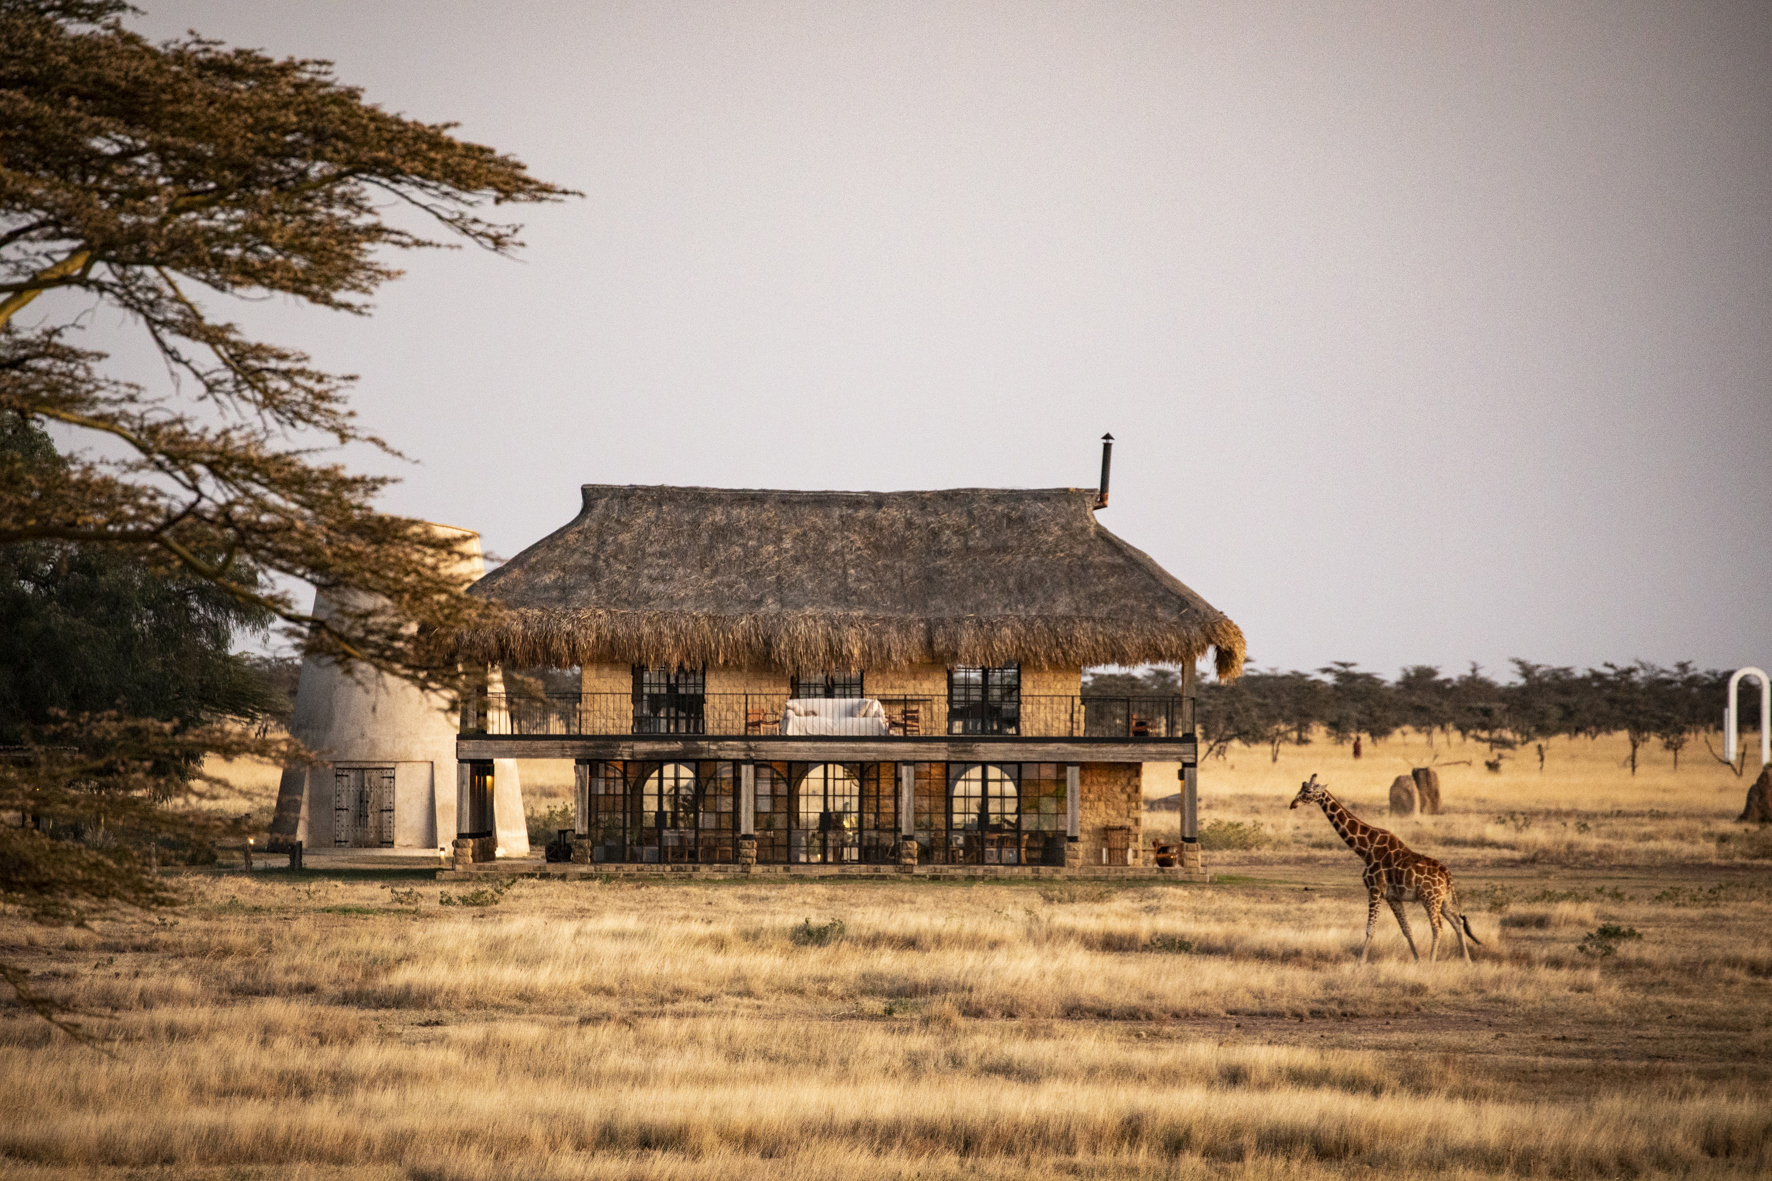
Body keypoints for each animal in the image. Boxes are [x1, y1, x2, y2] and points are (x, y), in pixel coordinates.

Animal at [1290, 774, 1482, 963]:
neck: (1365, 849)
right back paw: (1467, 961)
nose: (1293, 804)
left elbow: (1370, 929)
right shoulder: (1392, 896)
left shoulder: (1374, 889)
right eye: (1301, 787)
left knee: (1438, 927)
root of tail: (1447, 874)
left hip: (1430, 898)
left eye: (1308, 791)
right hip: (1444, 899)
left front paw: (1360, 963)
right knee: (1457, 922)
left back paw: (1432, 963)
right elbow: (1406, 928)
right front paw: (1417, 960)